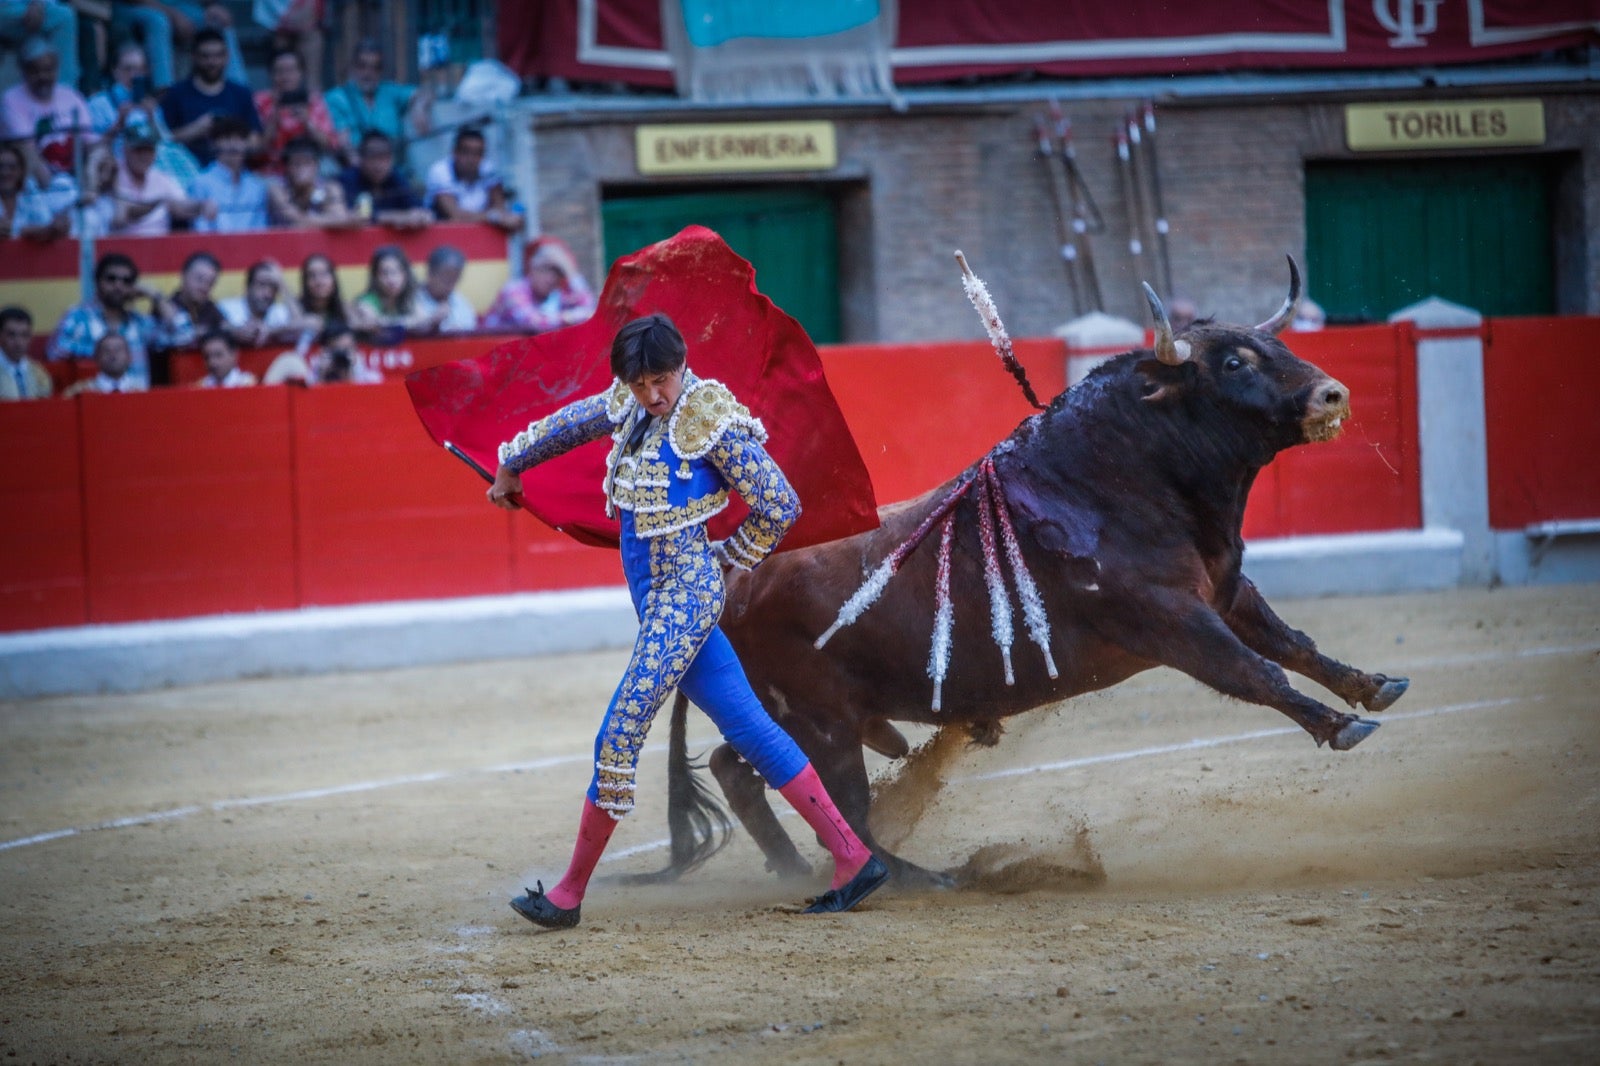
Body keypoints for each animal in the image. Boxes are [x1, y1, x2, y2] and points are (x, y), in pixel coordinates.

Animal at [643, 260, 1408, 883]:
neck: (1119, 479)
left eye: (1277, 346)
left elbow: (1292, 644)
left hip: (800, 714)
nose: (1333, 395)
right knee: (840, 804)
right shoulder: (1171, 619)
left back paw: (799, 868)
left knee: (741, 769)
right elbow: (1255, 671)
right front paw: (1338, 726)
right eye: (1234, 364)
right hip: (821, 720)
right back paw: (926, 878)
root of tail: (730, 578)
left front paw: (1371, 688)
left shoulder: (1224, 590)